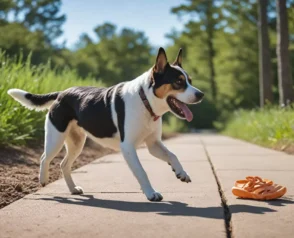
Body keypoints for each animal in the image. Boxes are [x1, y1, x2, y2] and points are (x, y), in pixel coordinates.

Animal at [8, 48, 203, 201]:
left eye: (190, 81)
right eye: (178, 82)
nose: (201, 95)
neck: (145, 100)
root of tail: (62, 93)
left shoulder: (153, 144)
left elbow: (172, 155)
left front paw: (181, 172)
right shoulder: (128, 147)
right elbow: (142, 171)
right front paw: (151, 193)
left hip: (77, 142)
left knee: (64, 164)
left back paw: (73, 189)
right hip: (56, 138)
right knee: (44, 158)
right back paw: (43, 179)